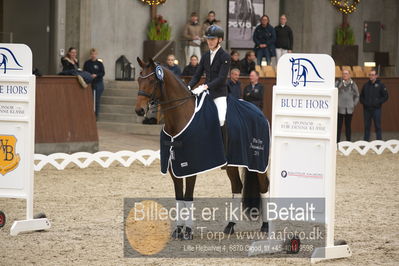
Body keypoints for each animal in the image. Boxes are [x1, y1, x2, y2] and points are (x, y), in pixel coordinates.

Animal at [136, 57, 270, 240]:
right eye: (138, 79)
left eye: (151, 81)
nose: (139, 110)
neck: (180, 118)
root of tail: (260, 113)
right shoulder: (174, 168)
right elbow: (179, 197)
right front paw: (178, 230)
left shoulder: (192, 166)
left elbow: (188, 196)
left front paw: (188, 231)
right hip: (233, 164)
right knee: (237, 186)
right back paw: (230, 226)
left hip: (258, 163)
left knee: (264, 187)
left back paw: (265, 226)